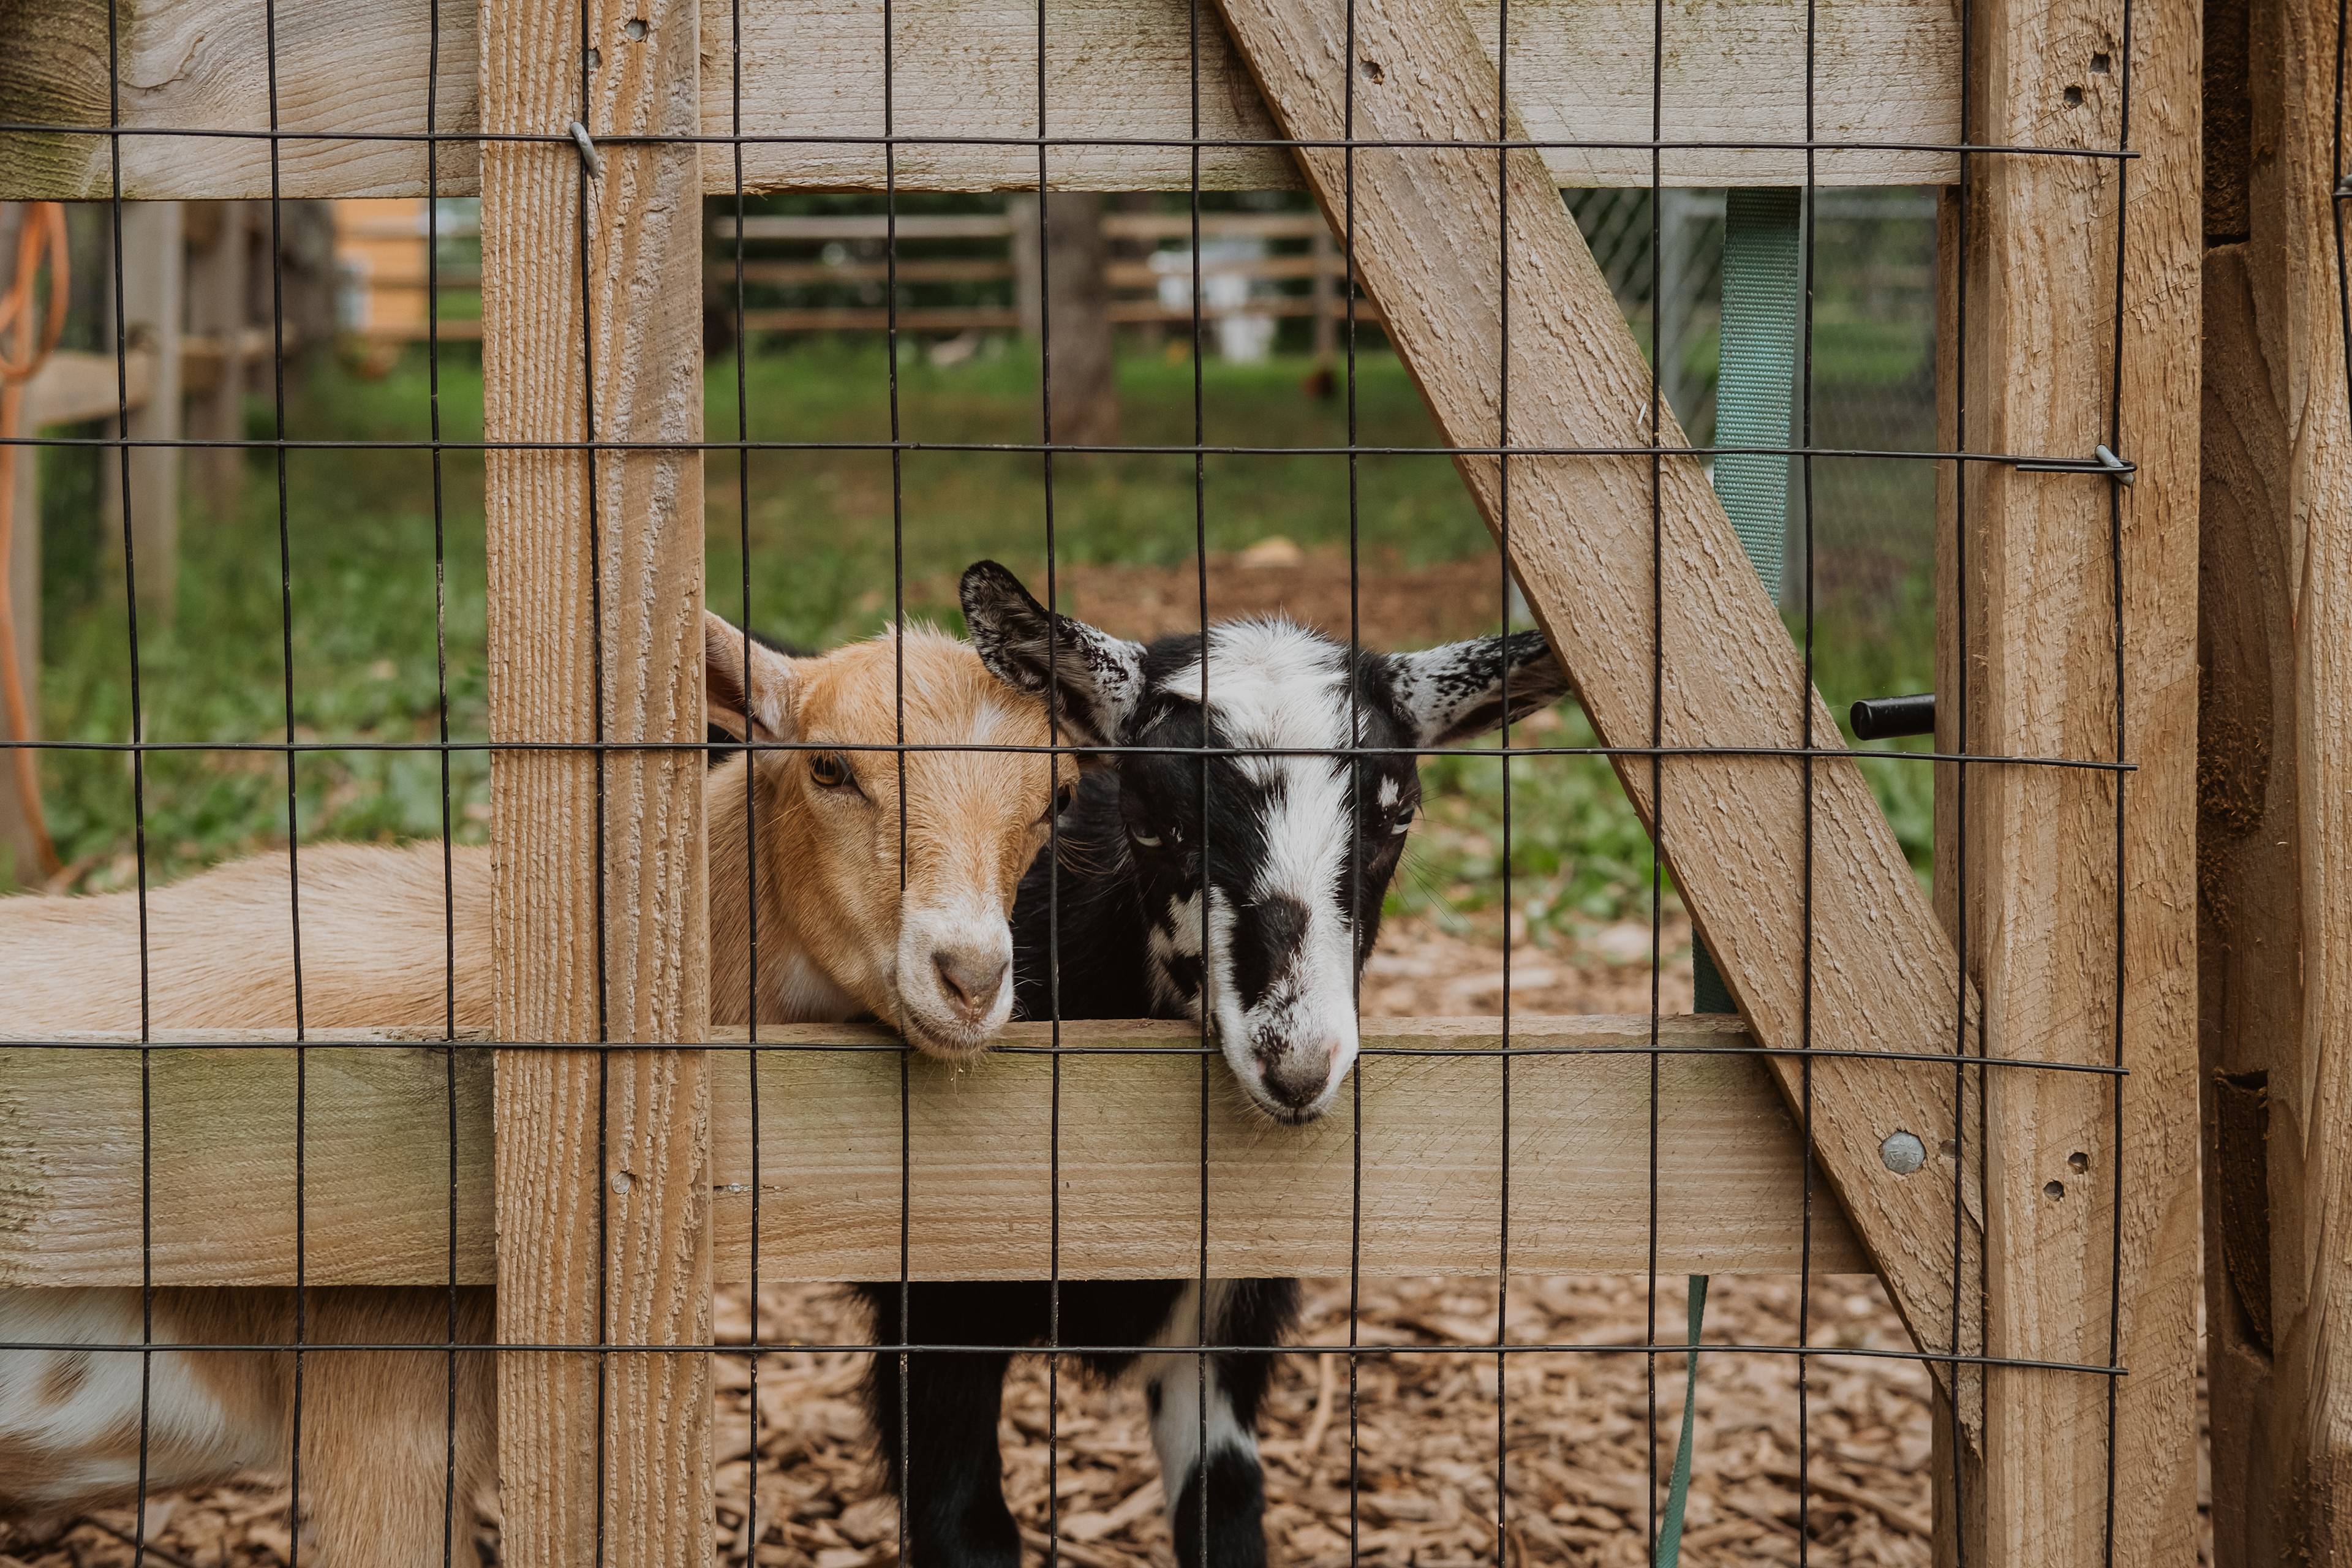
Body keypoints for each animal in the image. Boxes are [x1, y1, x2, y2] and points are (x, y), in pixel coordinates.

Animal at [856, 561, 1571, 1568]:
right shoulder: (933, 1316)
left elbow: (1226, 1504)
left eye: (1397, 817)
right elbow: (966, 1526)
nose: (1297, 1064)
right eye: (1153, 822)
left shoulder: (1222, 1324)